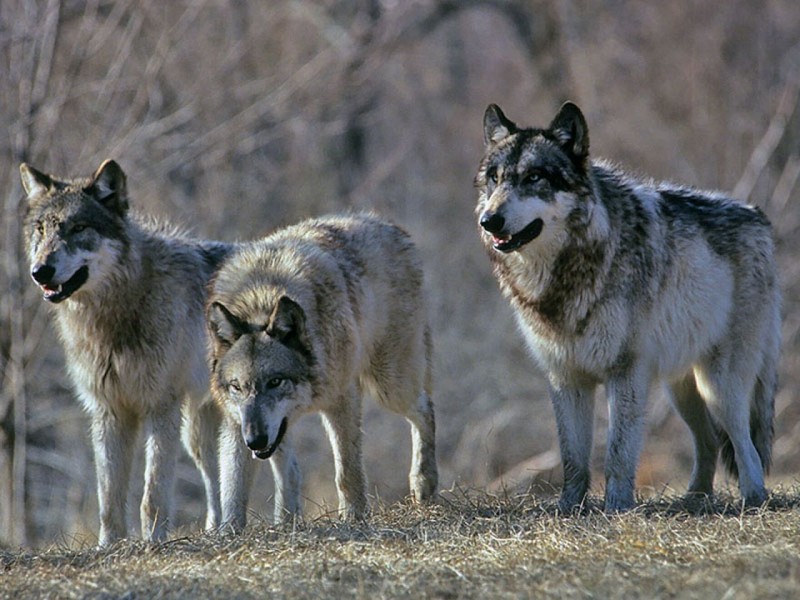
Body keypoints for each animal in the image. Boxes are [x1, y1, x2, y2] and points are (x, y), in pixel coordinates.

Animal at [19, 159, 231, 544]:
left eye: (78, 228)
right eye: (41, 229)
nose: (40, 271)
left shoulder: (161, 407)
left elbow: (152, 493)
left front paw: (154, 543)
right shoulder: (109, 411)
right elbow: (109, 497)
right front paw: (109, 546)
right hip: (197, 433)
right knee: (216, 478)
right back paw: (219, 530)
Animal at [206, 212, 438, 528]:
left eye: (275, 381)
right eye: (237, 387)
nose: (255, 440)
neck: (261, 299)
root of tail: (388, 225)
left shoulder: (342, 400)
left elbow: (347, 473)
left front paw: (354, 518)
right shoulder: (235, 422)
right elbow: (232, 488)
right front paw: (228, 533)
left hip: (389, 385)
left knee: (425, 408)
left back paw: (424, 483)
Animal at [476, 102, 780, 510]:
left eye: (534, 177)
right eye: (494, 179)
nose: (489, 220)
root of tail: (757, 216)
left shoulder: (626, 372)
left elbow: (618, 453)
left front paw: (617, 507)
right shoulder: (565, 377)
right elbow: (573, 457)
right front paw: (569, 508)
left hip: (721, 386)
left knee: (744, 444)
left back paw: (753, 498)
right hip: (682, 390)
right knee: (710, 441)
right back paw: (694, 499)